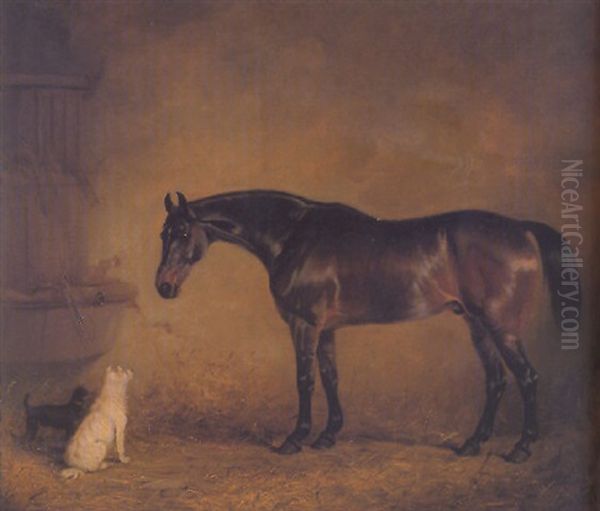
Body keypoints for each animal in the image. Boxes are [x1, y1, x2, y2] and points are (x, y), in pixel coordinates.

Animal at [155, 191, 564, 464]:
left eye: (183, 233)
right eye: (163, 234)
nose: (163, 286)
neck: (293, 236)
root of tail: (522, 229)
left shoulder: (304, 324)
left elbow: (305, 380)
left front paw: (295, 438)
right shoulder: (326, 329)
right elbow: (330, 376)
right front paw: (327, 436)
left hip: (501, 327)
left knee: (527, 378)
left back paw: (520, 448)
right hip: (478, 326)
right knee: (496, 381)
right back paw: (471, 444)